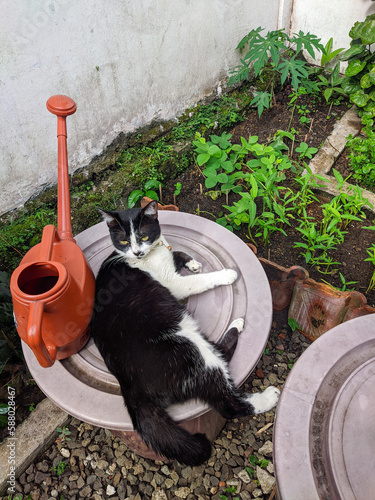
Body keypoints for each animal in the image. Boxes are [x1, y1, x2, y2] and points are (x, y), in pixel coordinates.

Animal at [91, 201, 280, 466]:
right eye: (124, 241)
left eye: (143, 236)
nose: (137, 253)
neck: (151, 255)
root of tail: (128, 385)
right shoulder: (172, 284)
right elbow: (200, 280)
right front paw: (226, 273)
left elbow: (177, 252)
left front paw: (191, 261)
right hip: (189, 349)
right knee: (226, 401)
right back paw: (267, 394)